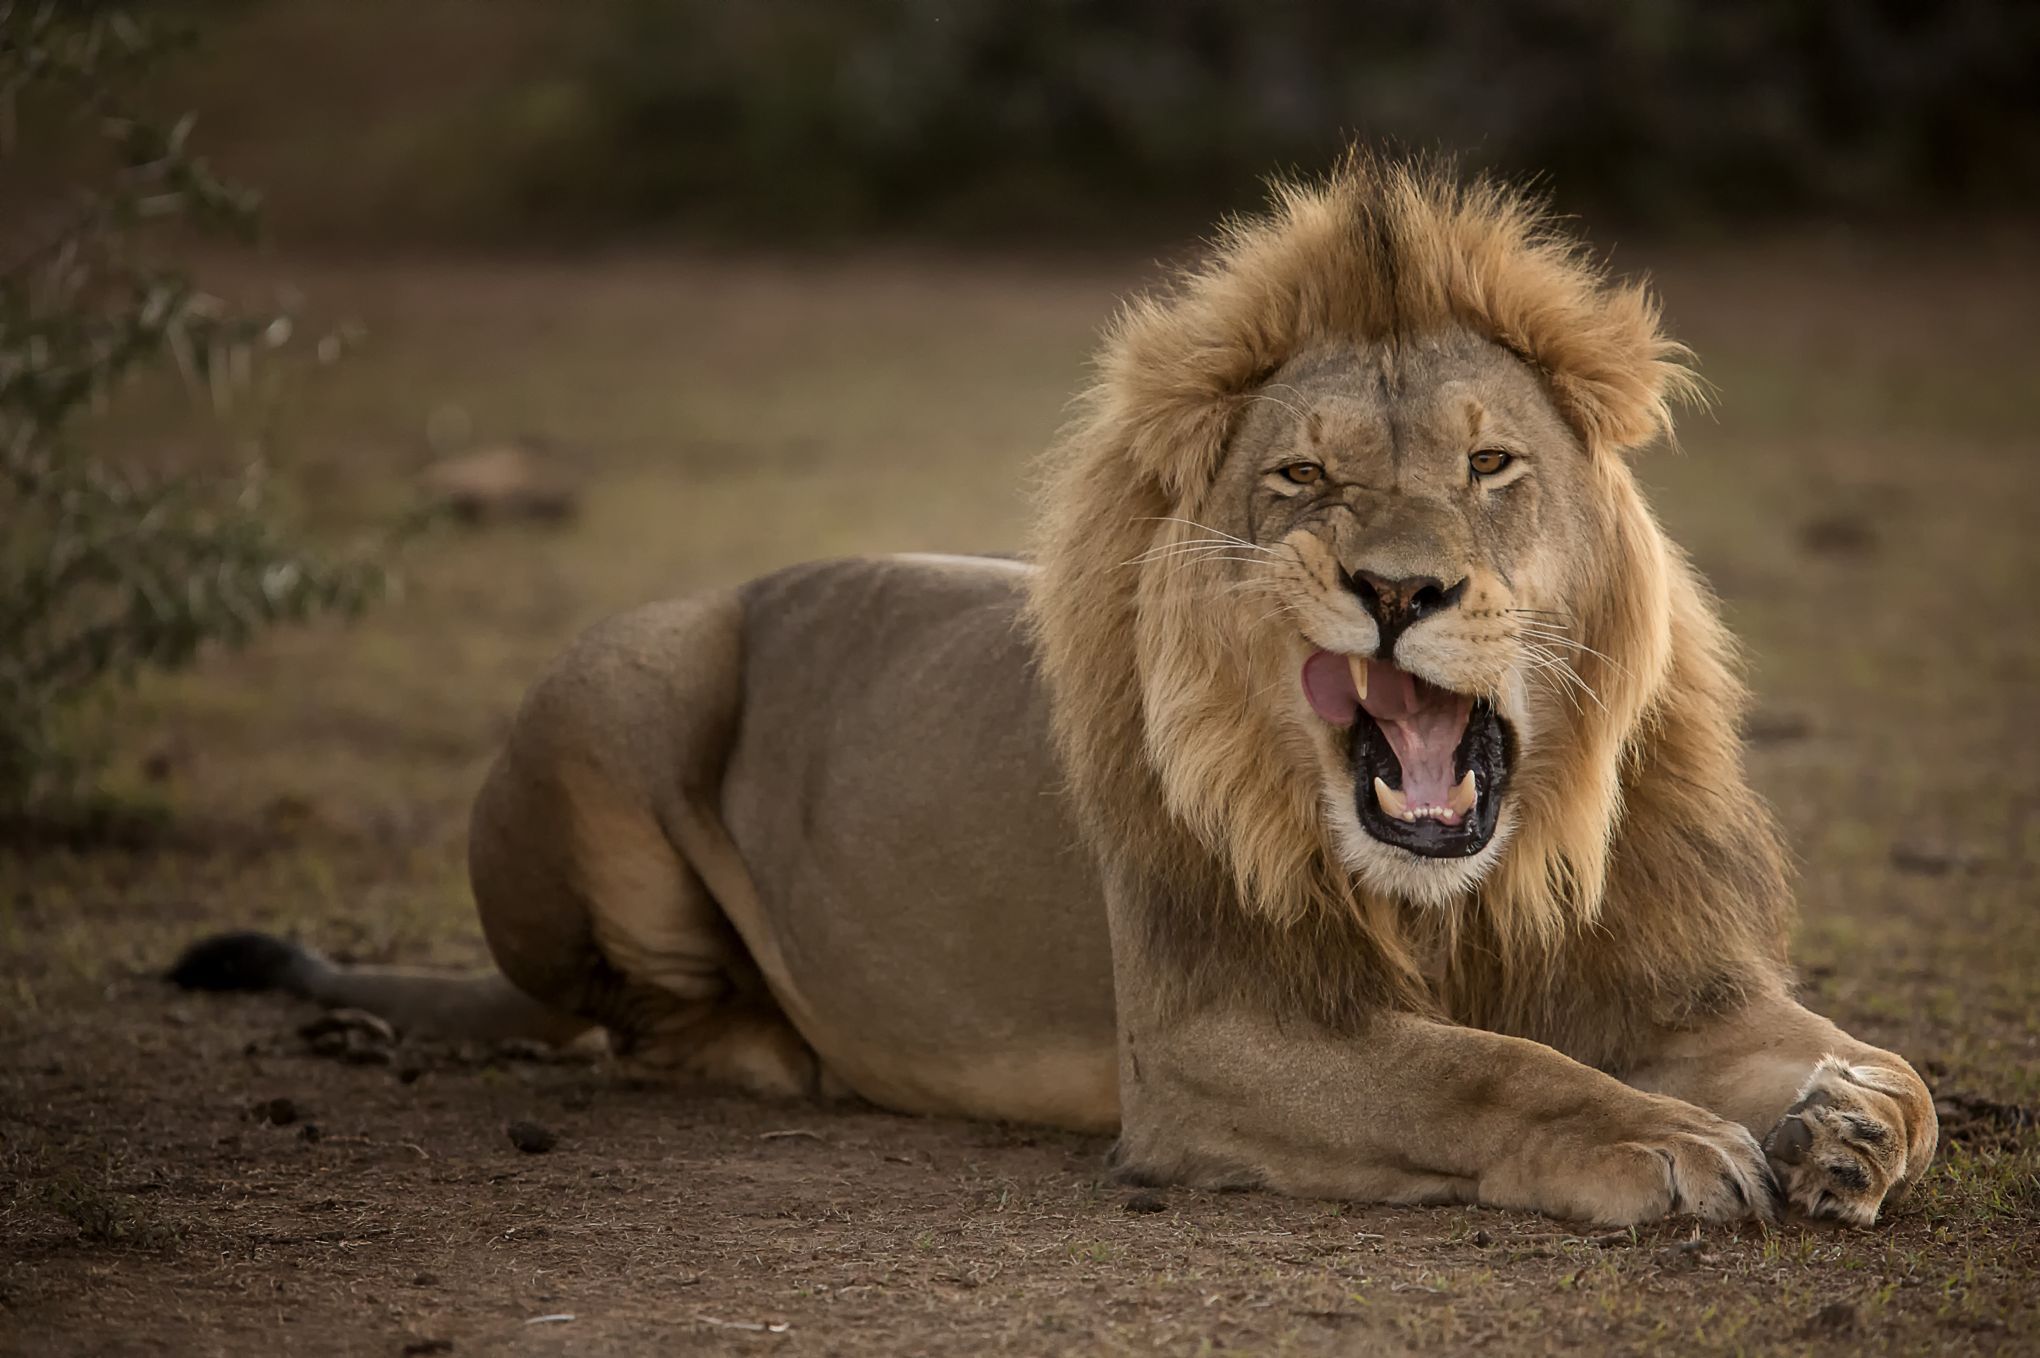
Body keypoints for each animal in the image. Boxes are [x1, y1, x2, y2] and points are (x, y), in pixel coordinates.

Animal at [171, 152, 1925, 1223]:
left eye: (1492, 466)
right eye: (1302, 481)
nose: (1398, 591)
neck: (1464, 891)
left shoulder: (1662, 977)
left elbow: (1875, 1068)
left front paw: (1836, 1115)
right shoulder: (1210, 1037)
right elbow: (1481, 1064)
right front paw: (1661, 1140)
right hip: (616, 679)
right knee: (626, 1019)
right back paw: (779, 1043)